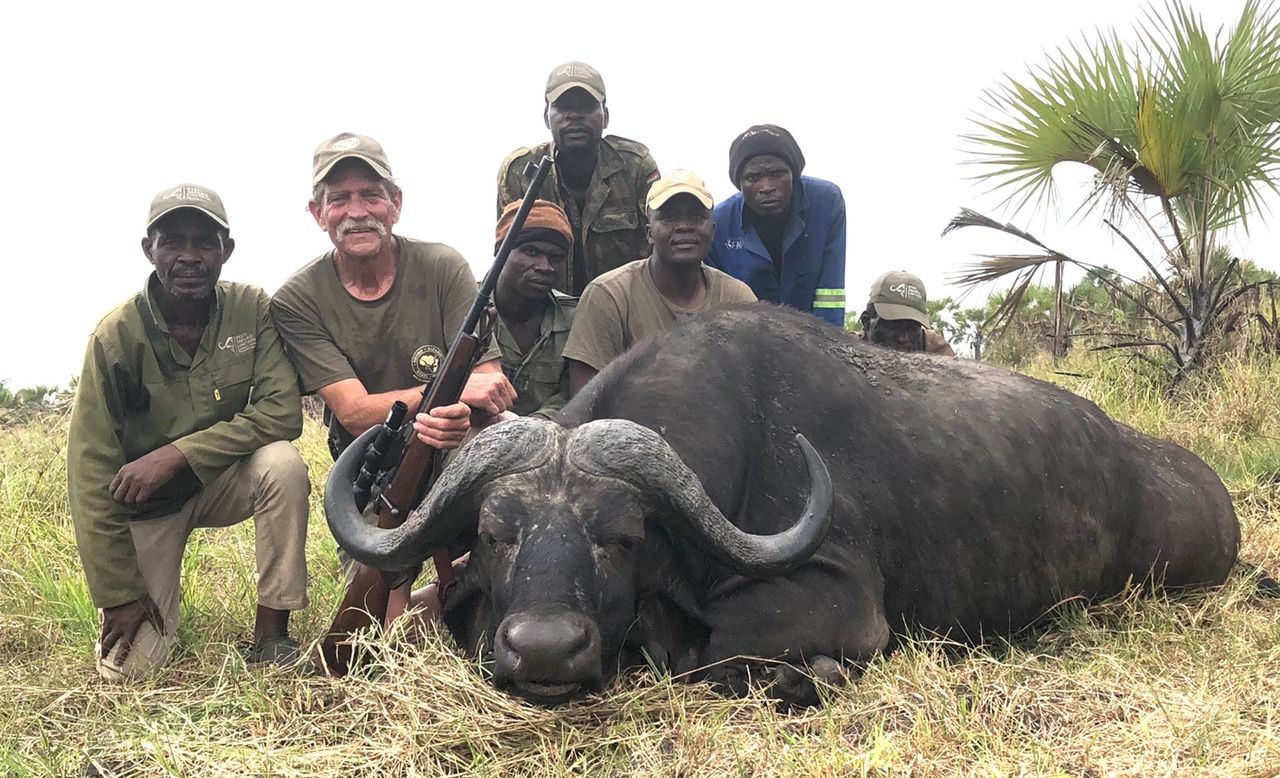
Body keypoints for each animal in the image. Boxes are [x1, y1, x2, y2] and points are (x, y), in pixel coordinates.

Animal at [324, 304, 1240, 706]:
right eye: (495, 534)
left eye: (622, 536)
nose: (546, 650)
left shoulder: (842, 603)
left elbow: (705, 651)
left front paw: (807, 676)